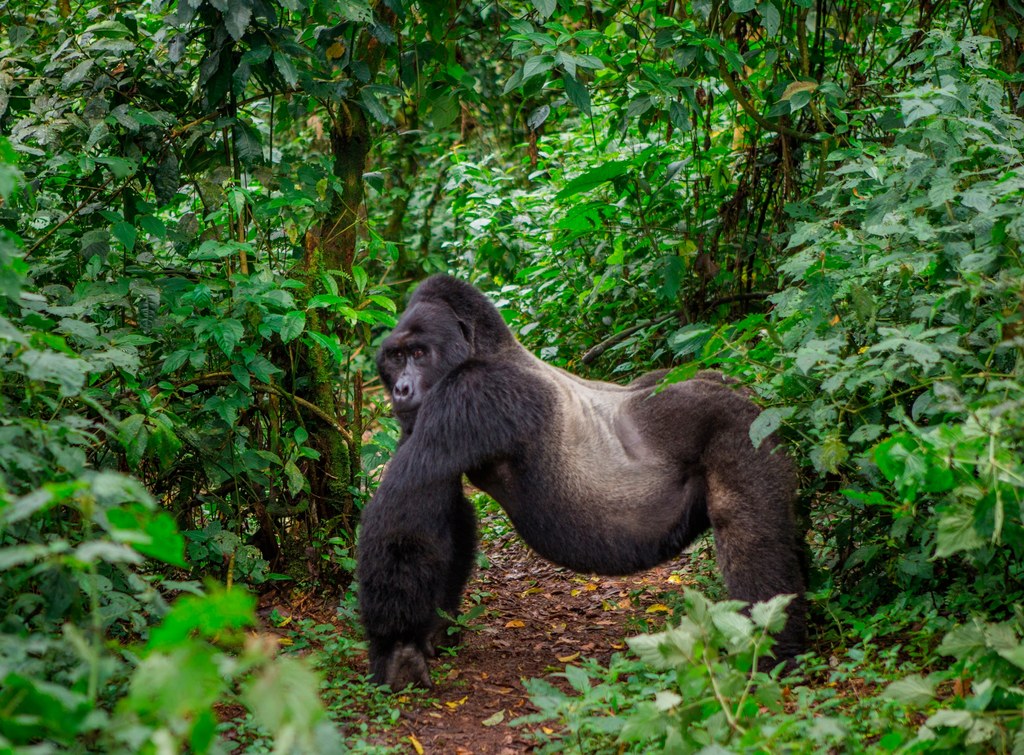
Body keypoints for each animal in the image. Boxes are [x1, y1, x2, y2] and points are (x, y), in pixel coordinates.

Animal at [356, 276, 802, 688]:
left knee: (749, 530)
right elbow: (448, 515)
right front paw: (431, 629)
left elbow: (407, 513)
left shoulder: (472, 392)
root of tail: (746, 392)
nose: (401, 389)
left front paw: (397, 649)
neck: (489, 348)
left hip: (740, 425)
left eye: (418, 353)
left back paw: (773, 654)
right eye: (395, 357)